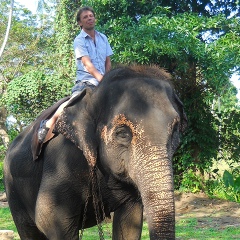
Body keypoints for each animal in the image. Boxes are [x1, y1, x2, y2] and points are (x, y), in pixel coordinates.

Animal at [4, 64, 188, 239]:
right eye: (123, 133)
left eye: (174, 130)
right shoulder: (61, 160)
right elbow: (49, 217)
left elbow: (131, 219)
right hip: (12, 187)